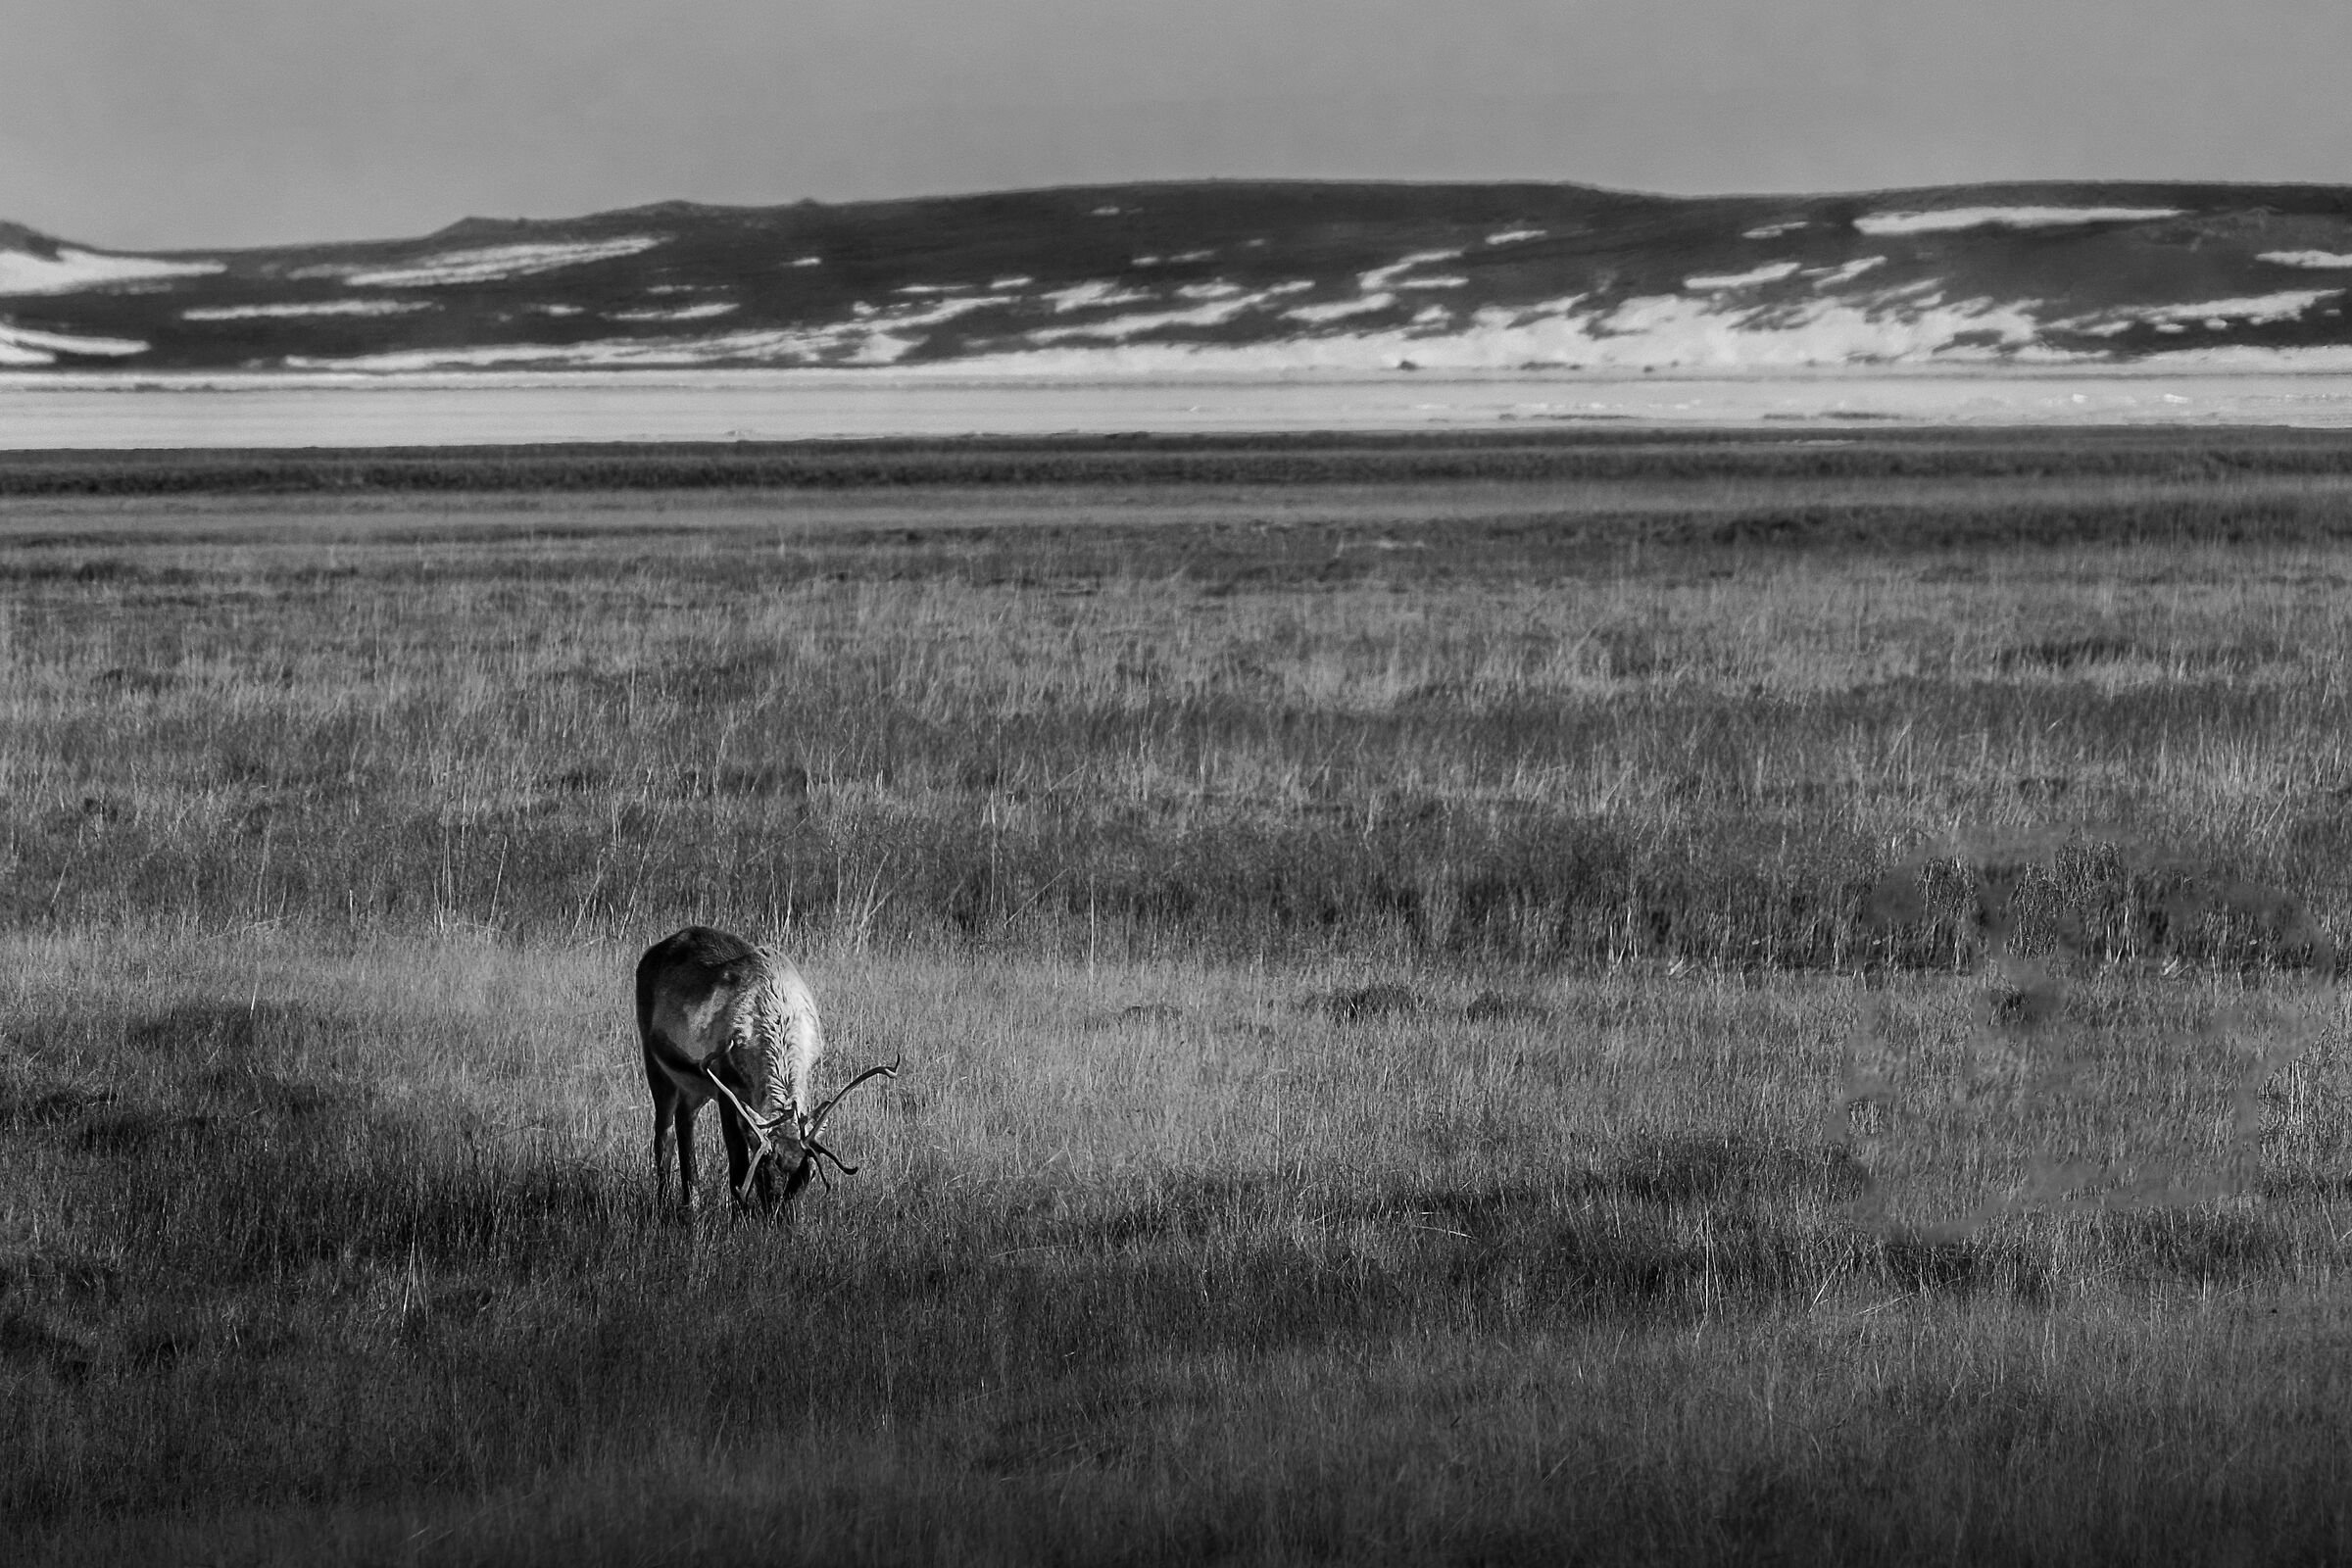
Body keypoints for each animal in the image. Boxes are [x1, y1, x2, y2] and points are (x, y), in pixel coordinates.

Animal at [636, 925, 900, 1215]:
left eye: (808, 1175)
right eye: (763, 1174)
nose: (781, 1219)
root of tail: (649, 954)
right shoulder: (726, 1087)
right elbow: (738, 1167)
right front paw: (739, 1216)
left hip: (694, 1085)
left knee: (685, 1120)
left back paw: (690, 1202)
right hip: (656, 1065)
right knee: (664, 1135)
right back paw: (663, 1205)